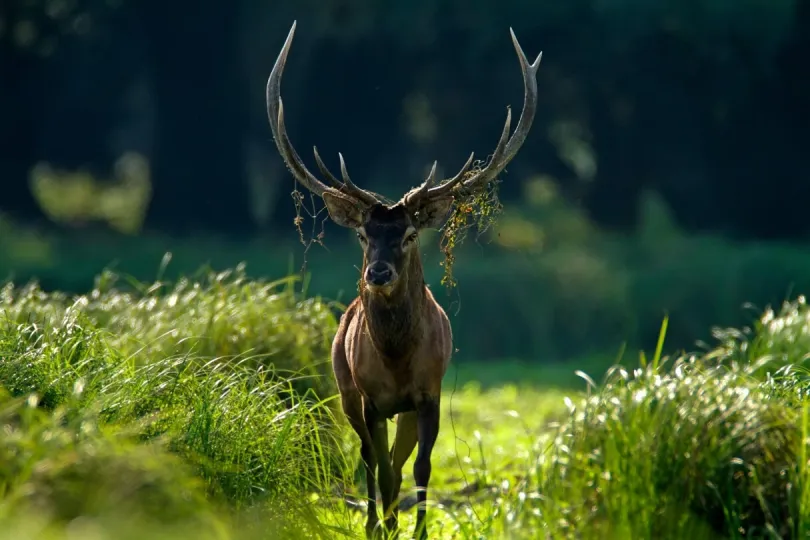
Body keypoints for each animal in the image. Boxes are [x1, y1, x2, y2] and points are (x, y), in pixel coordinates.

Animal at [266, 19, 544, 536]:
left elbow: (421, 467)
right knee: (372, 460)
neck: (396, 359)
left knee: (397, 463)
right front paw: (381, 525)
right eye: (362, 234)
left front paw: (418, 528)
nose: (378, 272)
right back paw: (379, 520)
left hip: (407, 412)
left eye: (412, 234)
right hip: (346, 392)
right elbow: (375, 466)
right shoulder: (369, 399)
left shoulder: (428, 394)